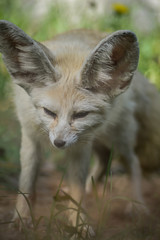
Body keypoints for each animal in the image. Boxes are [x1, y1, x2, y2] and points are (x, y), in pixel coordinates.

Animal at [0, 19, 159, 233]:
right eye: (49, 112)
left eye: (81, 115)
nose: (59, 143)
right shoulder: (30, 136)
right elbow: (27, 182)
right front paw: (22, 217)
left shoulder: (81, 146)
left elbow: (77, 190)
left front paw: (78, 224)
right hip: (101, 140)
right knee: (104, 159)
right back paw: (90, 189)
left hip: (117, 138)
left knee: (132, 163)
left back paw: (137, 204)